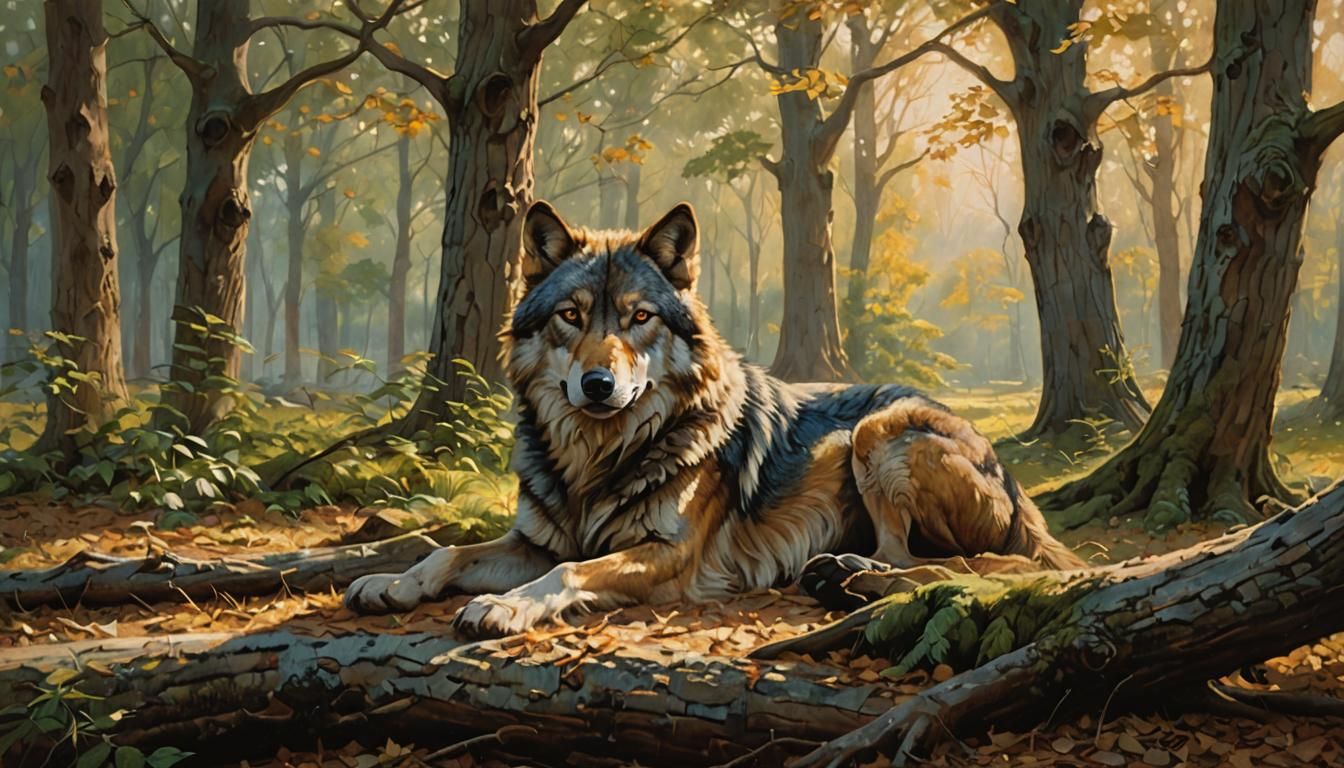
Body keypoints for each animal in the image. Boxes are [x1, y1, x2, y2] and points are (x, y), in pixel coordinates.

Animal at [345, 201, 1084, 637]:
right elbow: (447, 552)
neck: (598, 456)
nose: (598, 384)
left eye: (639, 317)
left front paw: (502, 605)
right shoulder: (534, 541)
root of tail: (1013, 479)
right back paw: (836, 570)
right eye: (571, 316)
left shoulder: (667, 556)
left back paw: (853, 579)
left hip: (875, 434)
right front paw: (390, 583)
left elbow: (567, 574)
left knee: (969, 563)